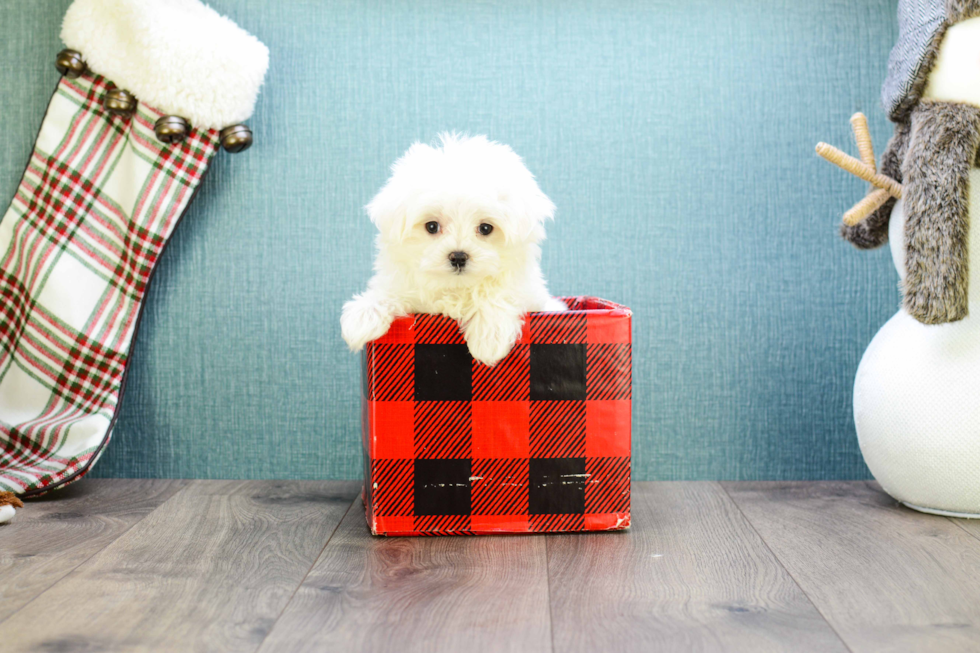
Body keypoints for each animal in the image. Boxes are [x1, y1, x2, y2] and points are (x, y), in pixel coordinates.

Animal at [340, 134, 568, 366]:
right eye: (432, 226)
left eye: (485, 228)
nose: (458, 257)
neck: (455, 289)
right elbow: (387, 292)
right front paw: (363, 315)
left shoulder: (532, 296)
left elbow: (499, 293)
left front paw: (489, 337)